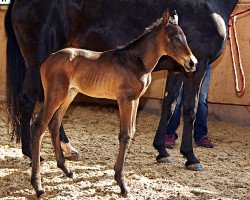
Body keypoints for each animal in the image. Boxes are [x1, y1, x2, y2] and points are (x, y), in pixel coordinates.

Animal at [30, 10, 197, 197]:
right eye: (173, 38)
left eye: (185, 37)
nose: (192, 63)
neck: (135, 61)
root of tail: (46, 61)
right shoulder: (125, 100)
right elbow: (125, 135)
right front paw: (121, 183)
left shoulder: (135, 100)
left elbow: (132, 132)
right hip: (55, 95)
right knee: (39, 126)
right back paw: (37, 185)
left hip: (69, 94)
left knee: (54, 122)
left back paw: (66, 170)